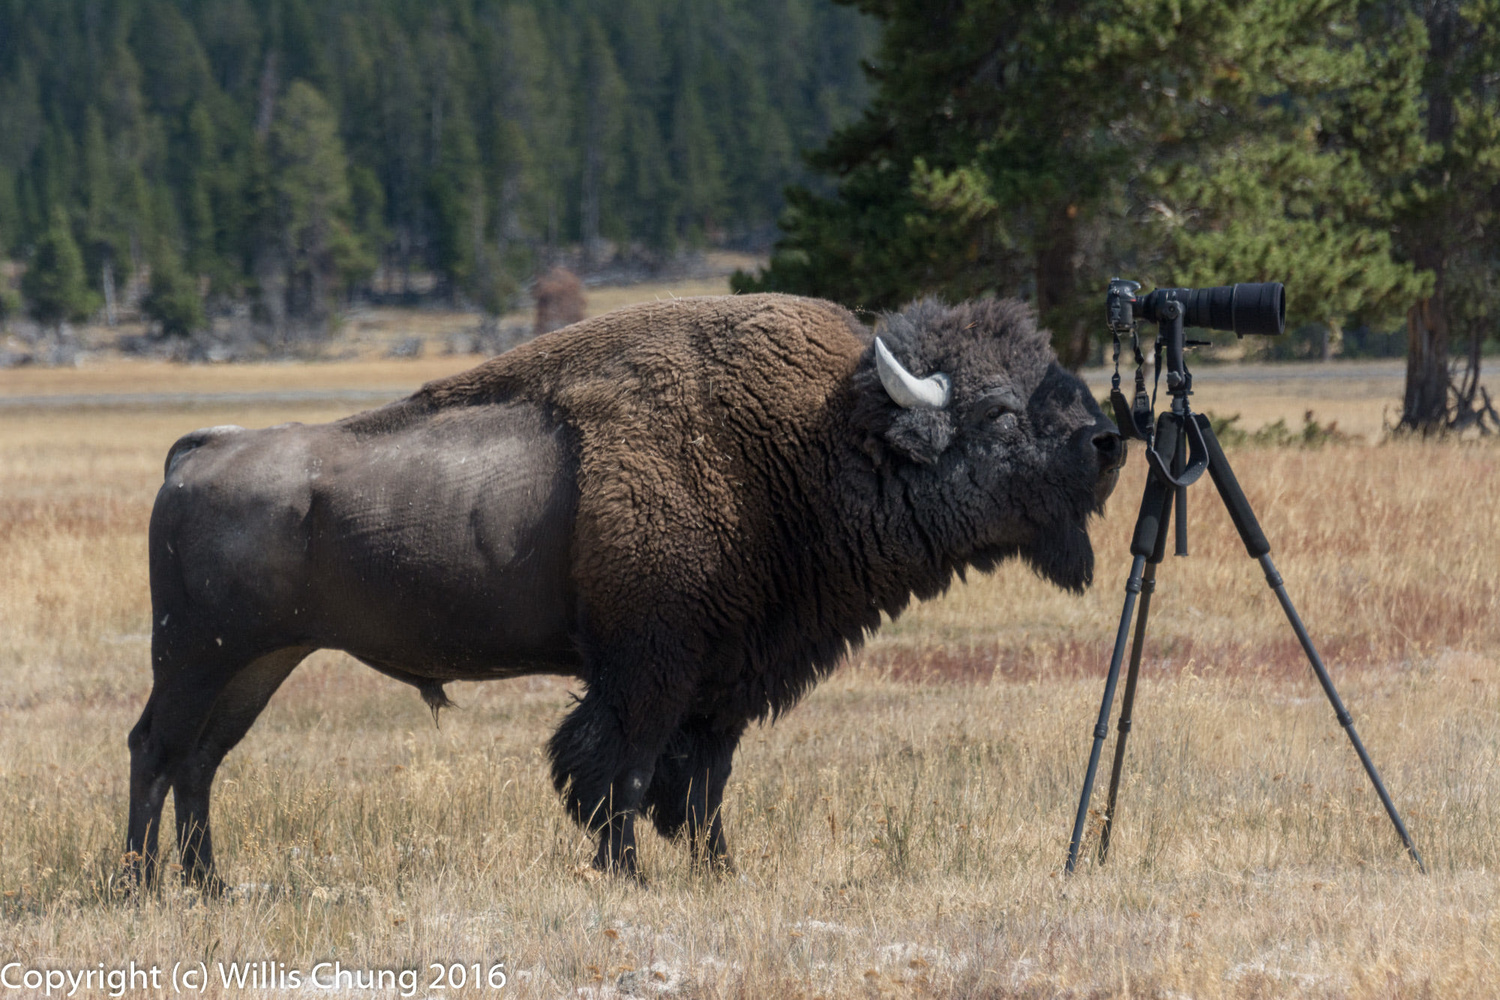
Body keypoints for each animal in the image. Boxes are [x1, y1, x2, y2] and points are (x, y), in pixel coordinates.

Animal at [129, 293, 1122, 887]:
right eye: (999, 412)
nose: (1108, 443)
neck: (808, 443)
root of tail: (197, 451)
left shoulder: (726, 680)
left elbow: (704, 783)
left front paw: (720, 872)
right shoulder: (650, 668)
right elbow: (624, 771)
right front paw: (631, 873)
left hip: (260, 663)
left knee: (202, 760)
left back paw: (210, 886)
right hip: (196, 657)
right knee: (157, 748)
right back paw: (143, 884)